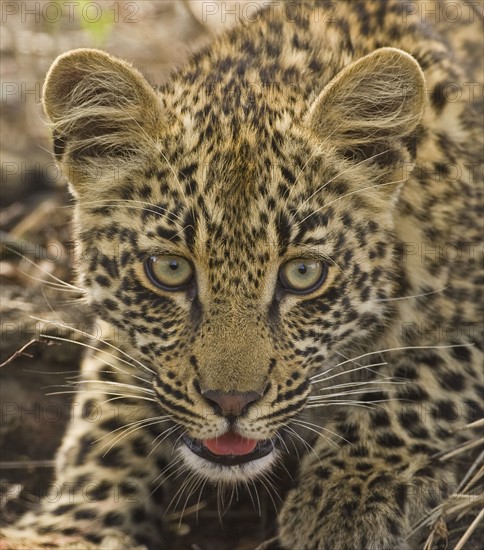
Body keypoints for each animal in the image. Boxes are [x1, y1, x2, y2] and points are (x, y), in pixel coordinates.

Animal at [4, 1, 484, 550]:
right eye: (170, 269)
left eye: (303, 273)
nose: (231, 402)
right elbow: (104, 412)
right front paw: (66, 529)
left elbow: (419, 384)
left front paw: (346, 497)